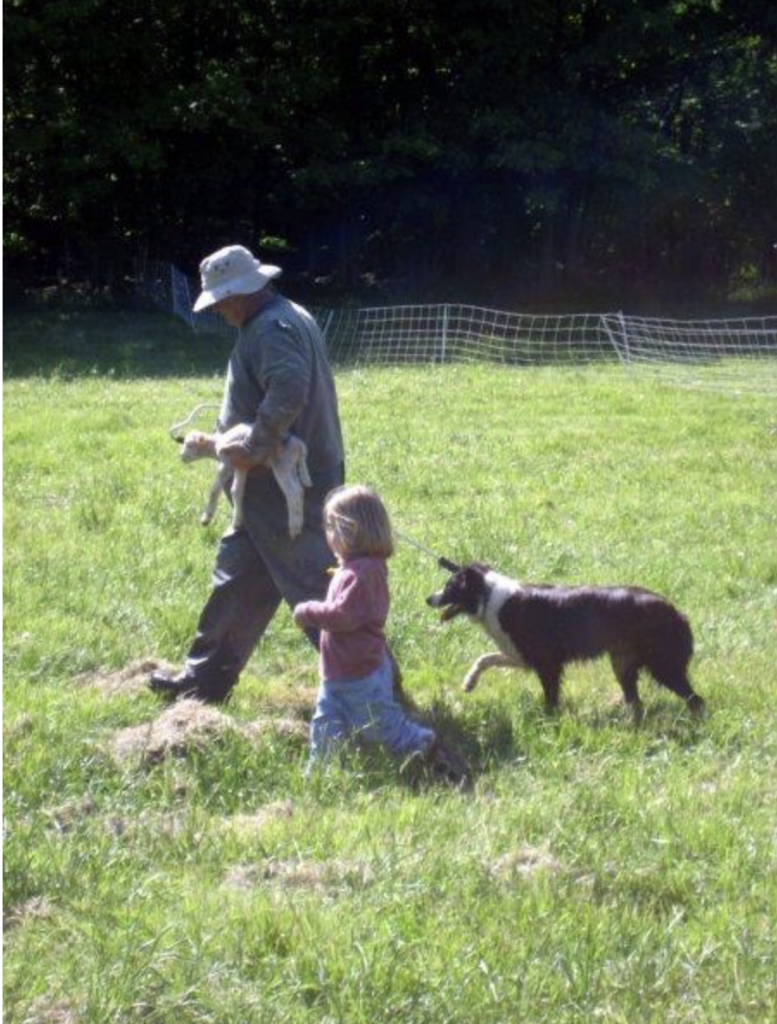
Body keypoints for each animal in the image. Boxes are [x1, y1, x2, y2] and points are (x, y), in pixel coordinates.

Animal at [181, 425, 313, 540]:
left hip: (282, 463)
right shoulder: (241, 466)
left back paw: (294, 528)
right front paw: (237, 521)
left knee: (293, 493)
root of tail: (300, 445)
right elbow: (236, 491)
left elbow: (214, 490)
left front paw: (206, 518)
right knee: (299, 489)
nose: (181, 457)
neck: (216, 444)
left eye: (190, 445)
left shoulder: (227, 463)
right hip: (291, 466)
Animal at [427, 565, 708, 716]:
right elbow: (485, 658)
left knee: (696, 701)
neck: (488, 597)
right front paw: (469, 682)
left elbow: (550, 696)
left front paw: (547, 719)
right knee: (636, 702)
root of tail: (678, 613)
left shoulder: (546, 663)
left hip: (663, 665)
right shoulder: (522, 655)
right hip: (624, 664)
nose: (428, 598)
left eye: (450, 587)